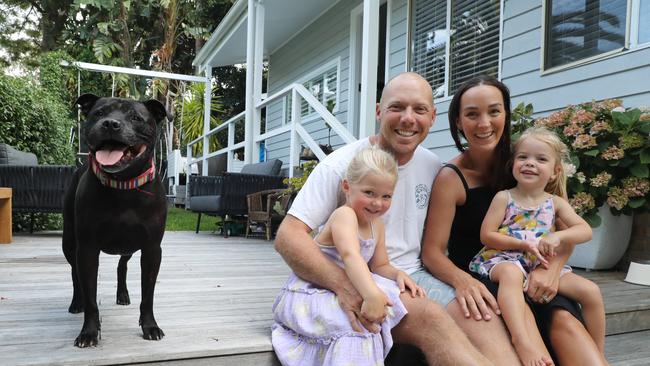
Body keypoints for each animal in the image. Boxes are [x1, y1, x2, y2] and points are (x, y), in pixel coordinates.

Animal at [61, 93, 170, 348]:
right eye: (98, 113)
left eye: (136, 118)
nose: (111, 123)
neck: (123, 185)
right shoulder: (87, 249)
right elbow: (91, 298)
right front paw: (89, 332)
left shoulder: (152, 250)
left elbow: (148, 295)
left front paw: (150, 326)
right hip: (69, 243)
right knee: (74, 274)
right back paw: (76, 302)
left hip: (129, 246)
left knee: (123, 265)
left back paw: (123, 294)